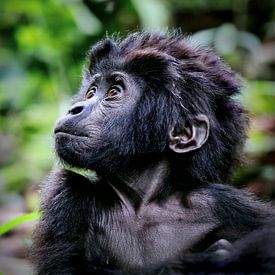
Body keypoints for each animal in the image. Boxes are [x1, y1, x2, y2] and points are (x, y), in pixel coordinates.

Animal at [33, 31, 275, 274]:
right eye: (91, 92)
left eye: (113, 92)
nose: (74, 108)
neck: (143, 201)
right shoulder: (66, 193)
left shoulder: (222, 202)